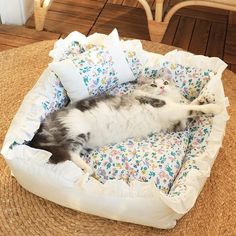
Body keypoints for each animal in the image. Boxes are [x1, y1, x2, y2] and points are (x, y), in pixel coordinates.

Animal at [29, 76, 221, 174]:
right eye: (153, 84)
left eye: (166, 83)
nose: (162, 88)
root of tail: (40, 129)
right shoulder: (167, 108)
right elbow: (191, 108)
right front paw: (215, 107)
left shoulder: (176, 123)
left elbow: (192, 108)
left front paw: (206, 98)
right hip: (78, 131)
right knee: (70, 154)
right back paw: (88, 170)